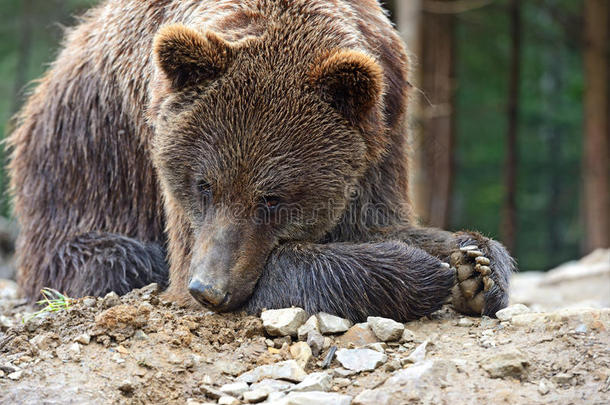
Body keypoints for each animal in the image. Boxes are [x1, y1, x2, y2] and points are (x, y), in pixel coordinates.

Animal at [8, 0, 512, 322]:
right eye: (203, 184)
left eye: (272, 197)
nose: (209, 289)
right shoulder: (160, 135)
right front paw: (420, 270)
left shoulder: (383, 122)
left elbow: (379, 220)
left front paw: (474, 267)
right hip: (80, 167)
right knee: (116, 258)